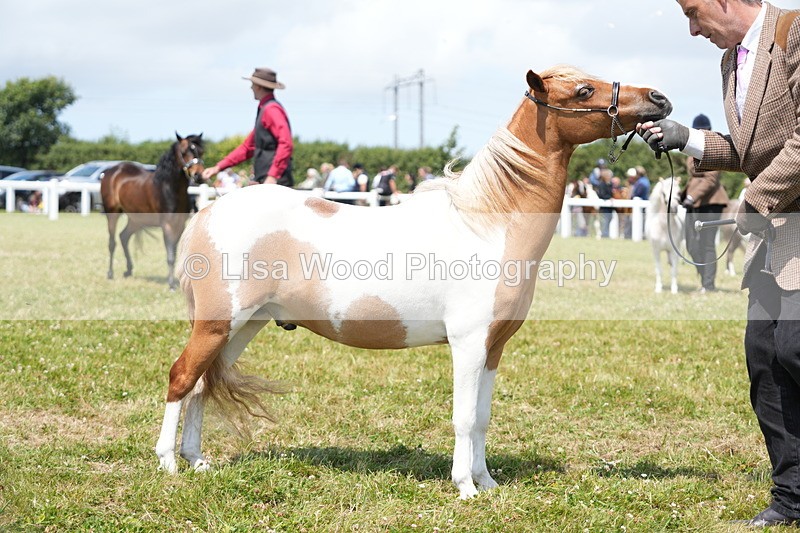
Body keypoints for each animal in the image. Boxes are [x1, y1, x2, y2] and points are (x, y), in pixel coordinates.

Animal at [101, 133, 204, 290]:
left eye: (201, 151)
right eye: (184, 151)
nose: (198, 175)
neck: (168, 188)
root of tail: (110, 172)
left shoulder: (180, 225)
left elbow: (174, 252)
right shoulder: (167, 225)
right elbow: (170, 255)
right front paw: (171, 285)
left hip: (135, 218)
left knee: (124, 236)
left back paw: (128, 270)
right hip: (112, 213)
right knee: (112, 242)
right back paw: (110, 274)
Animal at [155, 67, 672, 499]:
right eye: (583, 90)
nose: (659, 99)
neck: (487, 223)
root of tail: (209, 212)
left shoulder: (493, 347)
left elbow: (482, 418)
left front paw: (488, 482)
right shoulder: (467, 344)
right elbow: (464, 418)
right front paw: (465, 488)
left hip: (243, 327)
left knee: (201, 385)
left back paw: (197, 460)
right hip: (219, 323)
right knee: (182, 377)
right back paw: (169, 464)